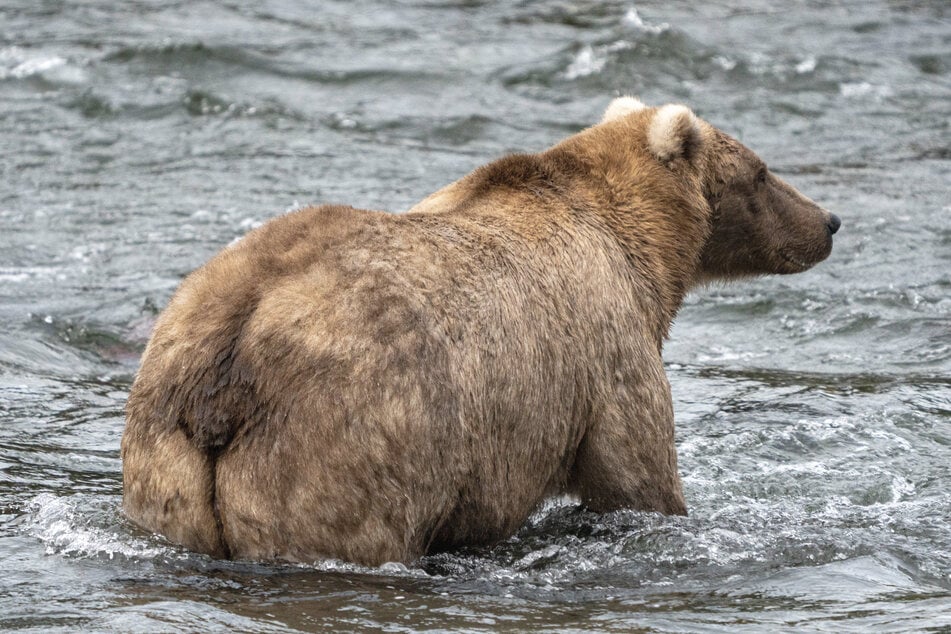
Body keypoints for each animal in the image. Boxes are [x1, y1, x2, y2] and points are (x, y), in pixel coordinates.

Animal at [121, 97, 840, 566]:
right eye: (761, 172)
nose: (827, 221)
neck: (645, 253)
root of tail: (228, 357)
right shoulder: (609, 358)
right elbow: (638, 479)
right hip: (342, 446)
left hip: (164, 463)